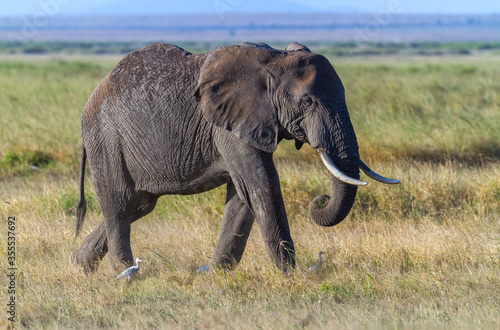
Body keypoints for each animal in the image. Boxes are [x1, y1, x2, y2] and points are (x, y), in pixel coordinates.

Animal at [70, 42, 398, 274]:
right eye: (307, 102)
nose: (319, 201)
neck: (274, 60)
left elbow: (243, 196)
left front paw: (216, 274)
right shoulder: (229, 125)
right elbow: (261, 186)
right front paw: (293, 276)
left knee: (138, 204)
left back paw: (80, 264)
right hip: (106, 138)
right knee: (120, 203)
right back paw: (126, 273)